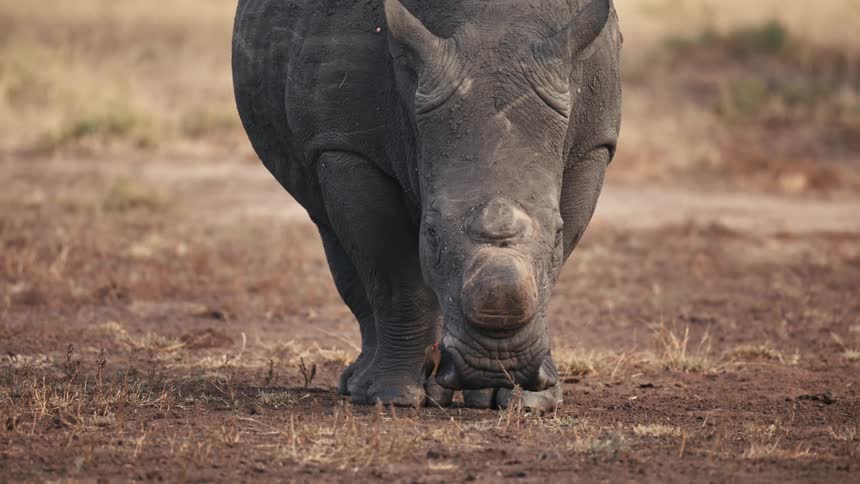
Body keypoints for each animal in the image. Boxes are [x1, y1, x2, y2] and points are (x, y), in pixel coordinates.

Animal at [232, 0, 622, 410]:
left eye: (558, 234)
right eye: (432, 233)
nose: (495, 360)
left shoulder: (593, 144)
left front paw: (529, 400)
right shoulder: (347, 147)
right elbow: (394, 273)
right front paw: (392, 396)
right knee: (333, 234)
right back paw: (363, 385)